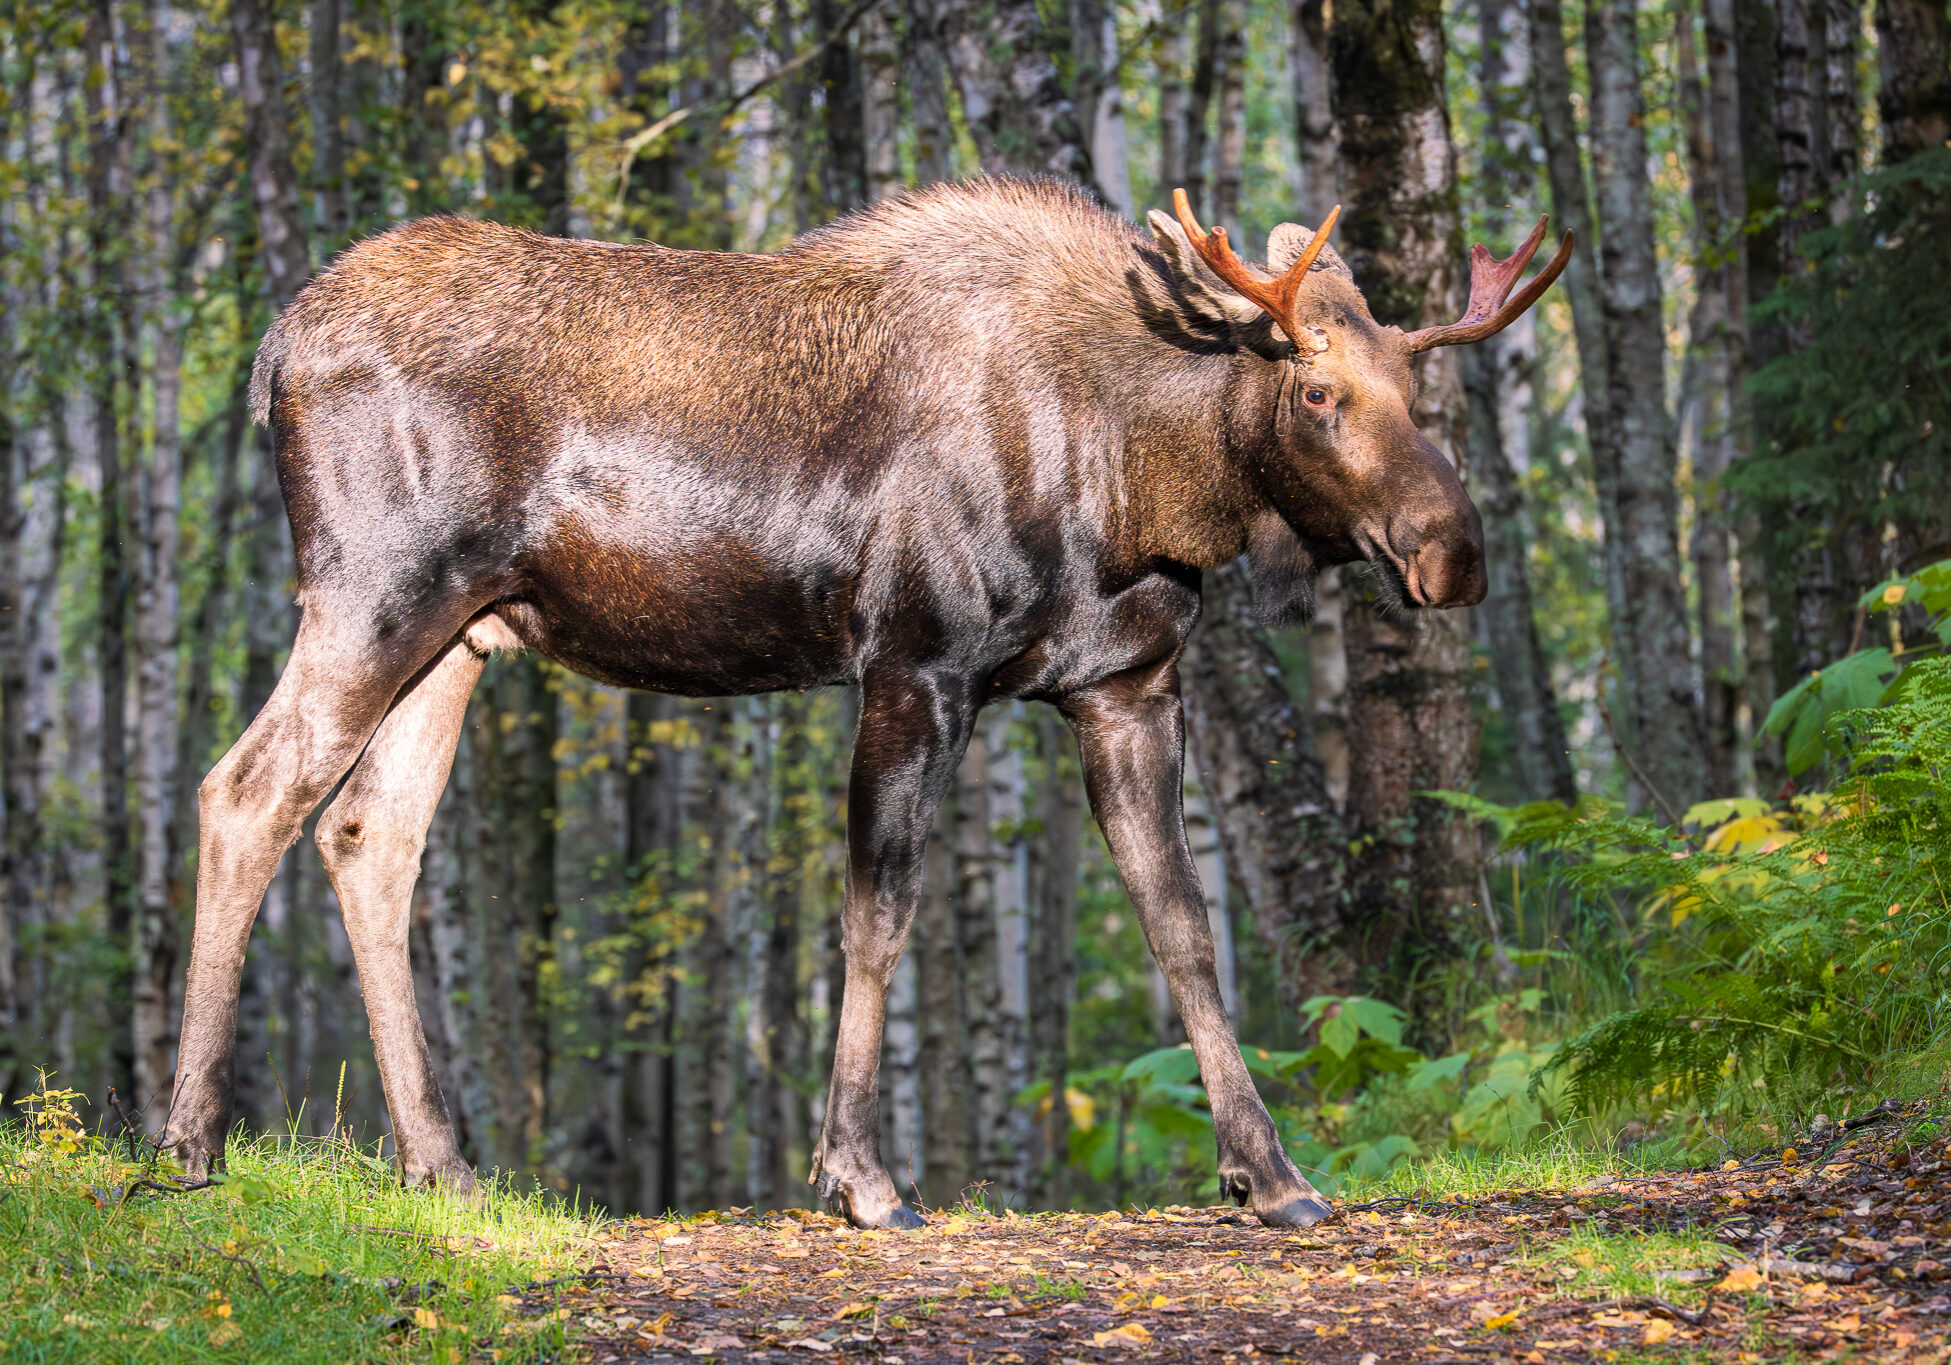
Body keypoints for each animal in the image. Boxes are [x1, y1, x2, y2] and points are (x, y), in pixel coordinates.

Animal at [161, 176, 1568, 1230]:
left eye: (1421, 393)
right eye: (1319, 393)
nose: (1454, 557)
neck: (1140, 486)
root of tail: (276, 350)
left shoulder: (1124, 688)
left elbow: (1184, 928)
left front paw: (1271, 1173)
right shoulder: (913, 660)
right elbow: (876, 913)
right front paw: (860, 1176)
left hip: (462, 635)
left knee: (368, 837)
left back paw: (443, 1165)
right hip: (373, 590)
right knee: (246, 790)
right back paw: (187, 1146)